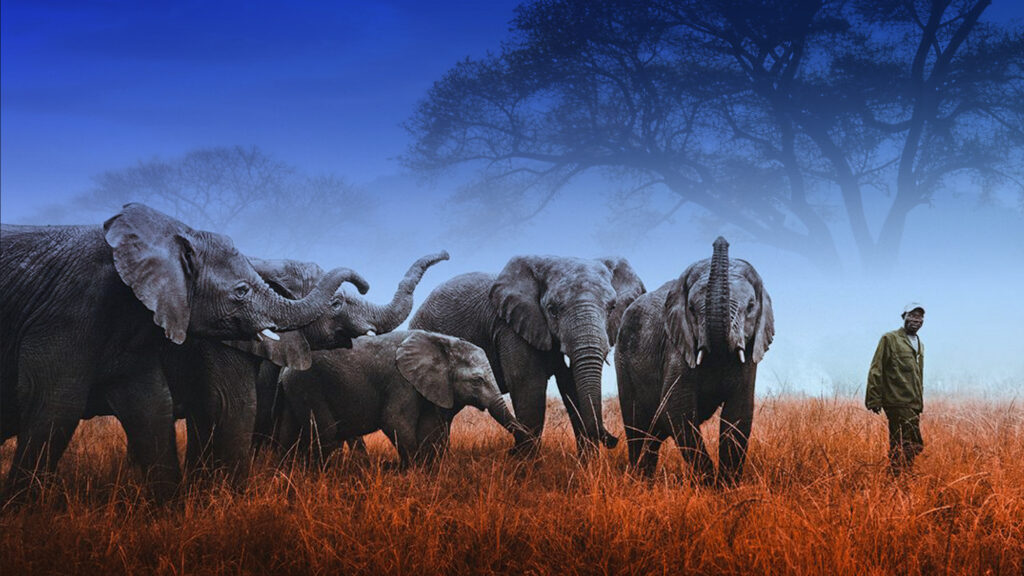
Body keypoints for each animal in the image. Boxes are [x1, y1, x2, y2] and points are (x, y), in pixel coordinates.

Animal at [0, 203, 367, 502]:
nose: (363, 284)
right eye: (241, 291)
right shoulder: (67, 311)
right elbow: (57, 404)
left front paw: (172, 512)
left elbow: (152, 406)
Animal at [273, 330, 524, 467]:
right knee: (326, 436)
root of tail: (285, 370)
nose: (511, 452)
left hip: (294, 391)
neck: (439, 341)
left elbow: (430, 428)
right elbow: (394, 421)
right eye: (477, 380)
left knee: (287, 433)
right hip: (309, 386)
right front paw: (409, 471)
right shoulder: (401, 382)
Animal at [410, 255, 645, 457]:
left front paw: (587, 467)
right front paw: (526, 470)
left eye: (612, 308)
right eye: (552, 310)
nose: (614, 440)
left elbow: (571, 385)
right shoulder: (510, 328)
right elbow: (529, 386)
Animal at [615, 237, 774, 485]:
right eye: (691, 308)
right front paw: (709, 485)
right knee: (637, 426)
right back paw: (637, 480)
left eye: (750, 306)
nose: (721, 240)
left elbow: (738, 413)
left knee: (655, 430)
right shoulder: (676, 346)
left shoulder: (749, 353)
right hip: (623, 362)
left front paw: (726, 486)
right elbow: (677, 408)